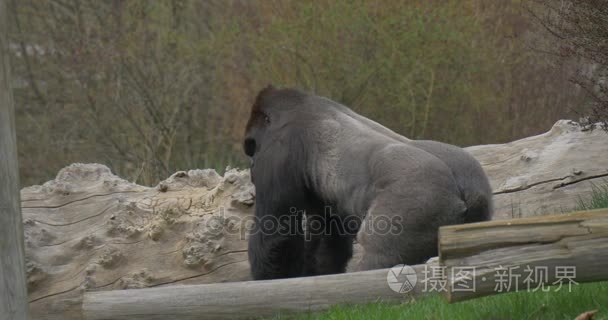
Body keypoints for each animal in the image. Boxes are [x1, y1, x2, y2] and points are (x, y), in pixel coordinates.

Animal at [245, 85, 492, 280]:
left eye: (252, 146)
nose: (251, 167)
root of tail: (468, 190)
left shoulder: (278, 150)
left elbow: (276, 233)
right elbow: (326, 233)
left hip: (421, 200)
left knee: (377, 258)